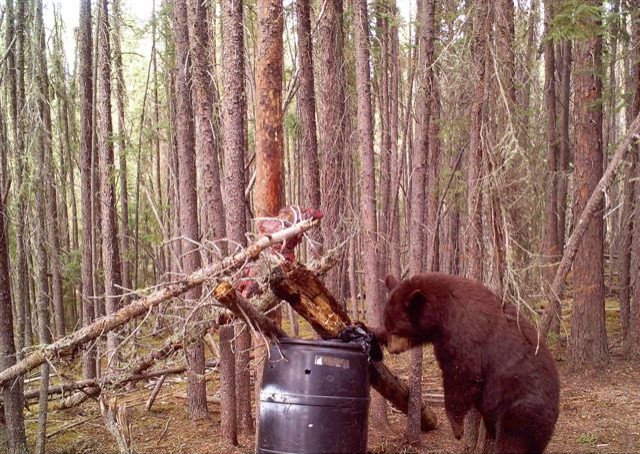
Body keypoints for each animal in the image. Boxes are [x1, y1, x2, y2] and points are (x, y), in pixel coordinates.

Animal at [378, 274, 556, 454]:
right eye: (387, 324)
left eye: (396, 330)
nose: (392, 350)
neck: (443, 309)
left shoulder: (463, 334)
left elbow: (463, 374)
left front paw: (457, 427)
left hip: (522, 407)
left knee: (515, 439)